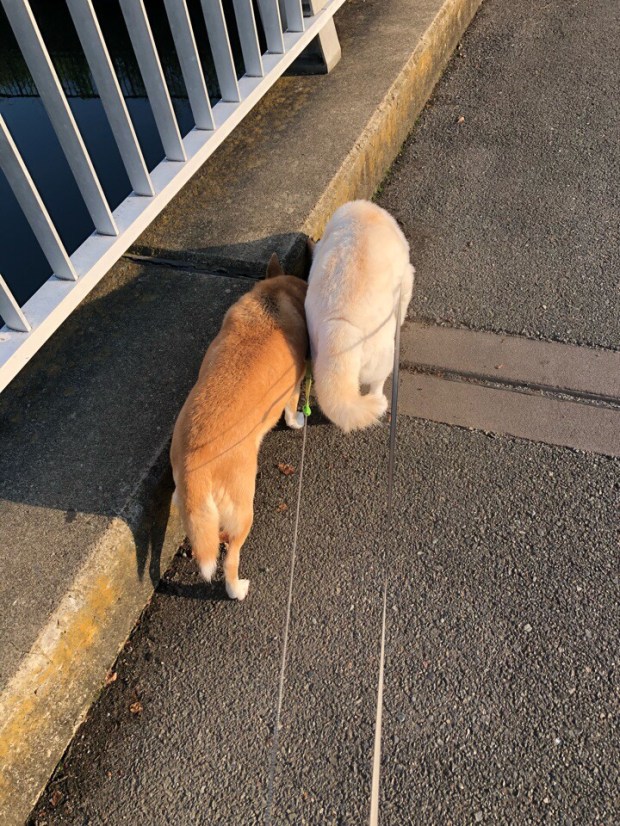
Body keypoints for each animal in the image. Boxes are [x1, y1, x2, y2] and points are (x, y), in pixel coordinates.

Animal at [170, 255, 308, 600]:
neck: (274, 299)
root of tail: (194, 467)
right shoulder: (294, 387)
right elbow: (291, 410)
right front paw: (296, 422)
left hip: (191, 504)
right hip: (243, 511)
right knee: (230, 558)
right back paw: (237, 589)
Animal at [305, 200, 414, 432]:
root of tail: (340, 328)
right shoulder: (407, 276)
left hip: (317, 349)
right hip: (382, 357)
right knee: (377, 383)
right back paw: (379, 400)